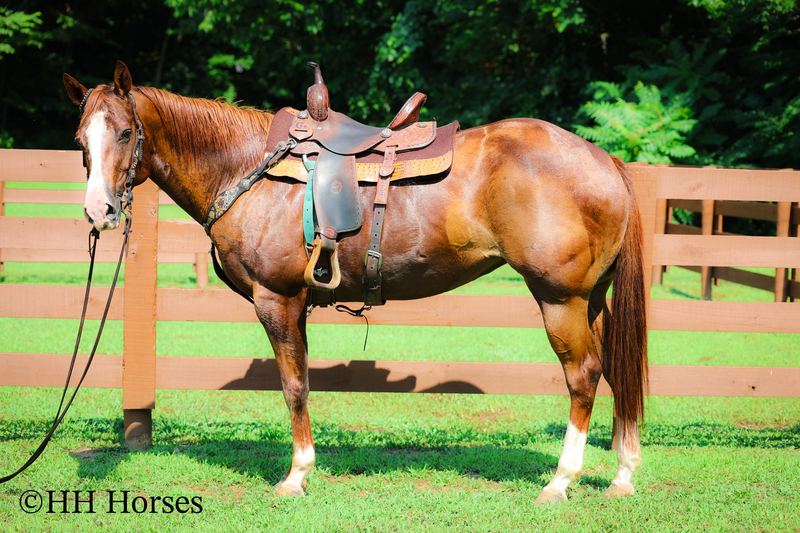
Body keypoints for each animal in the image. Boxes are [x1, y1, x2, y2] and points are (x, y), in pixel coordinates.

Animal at [62, 61, 647, 504]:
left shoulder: (277, 300)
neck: (247, 169)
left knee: (584, 375)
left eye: (125, 132)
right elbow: (300, 382)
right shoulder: (296, 303)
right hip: (591, 298)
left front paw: (296, 475)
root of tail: (604, 158)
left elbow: (293, 386)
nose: (99, 211)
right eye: (80, 139)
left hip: (560, 298)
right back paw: (621, 476)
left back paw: (560, 481)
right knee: (615, 369)